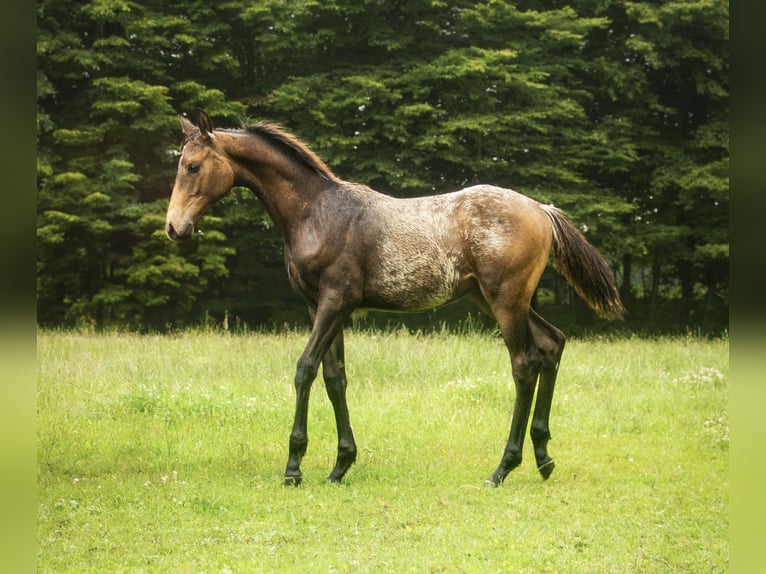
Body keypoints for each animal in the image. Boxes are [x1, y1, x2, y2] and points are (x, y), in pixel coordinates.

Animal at [164, 110, 624, 488]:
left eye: (193, 165)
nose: (174, 228)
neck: (317, 212)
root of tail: (541, 209)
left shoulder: (335, 302)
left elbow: (305, 369)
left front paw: (294, 467)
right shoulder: (321, 307)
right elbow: (335, 378)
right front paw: (340, 465)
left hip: (505, 301)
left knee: (525, 364)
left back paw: (502, 469)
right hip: (497, 299)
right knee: (552, 344)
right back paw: (544, 458)